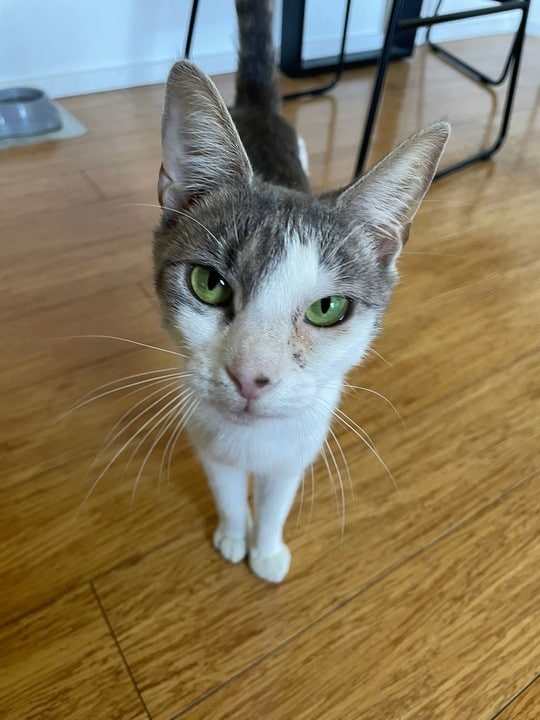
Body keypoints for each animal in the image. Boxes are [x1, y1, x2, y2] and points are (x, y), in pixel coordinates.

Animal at [153, 0, 449, 582]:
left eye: (327, 308)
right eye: (209, 284)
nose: (250, 377)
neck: (251, 443)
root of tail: (256, 106)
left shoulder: (298, 450)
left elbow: (276, 499)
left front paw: (265, 549)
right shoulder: (207, 439)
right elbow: (226, 491)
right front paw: (233, 534)